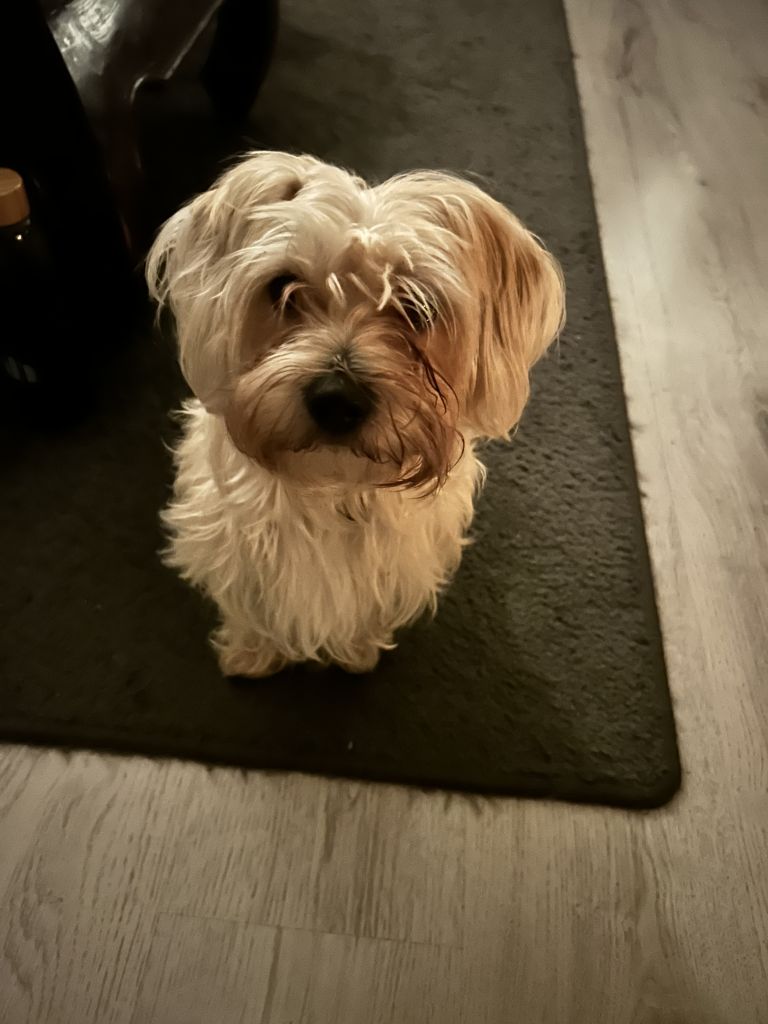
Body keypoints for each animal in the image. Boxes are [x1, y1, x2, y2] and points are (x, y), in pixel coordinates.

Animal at [146, 151, 564, 677]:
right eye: (282, 287)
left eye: (417, 306)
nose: (337, 399)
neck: (333, 488)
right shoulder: (233, 551)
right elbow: (250, 608)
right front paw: (251, 652)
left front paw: (358, 651)